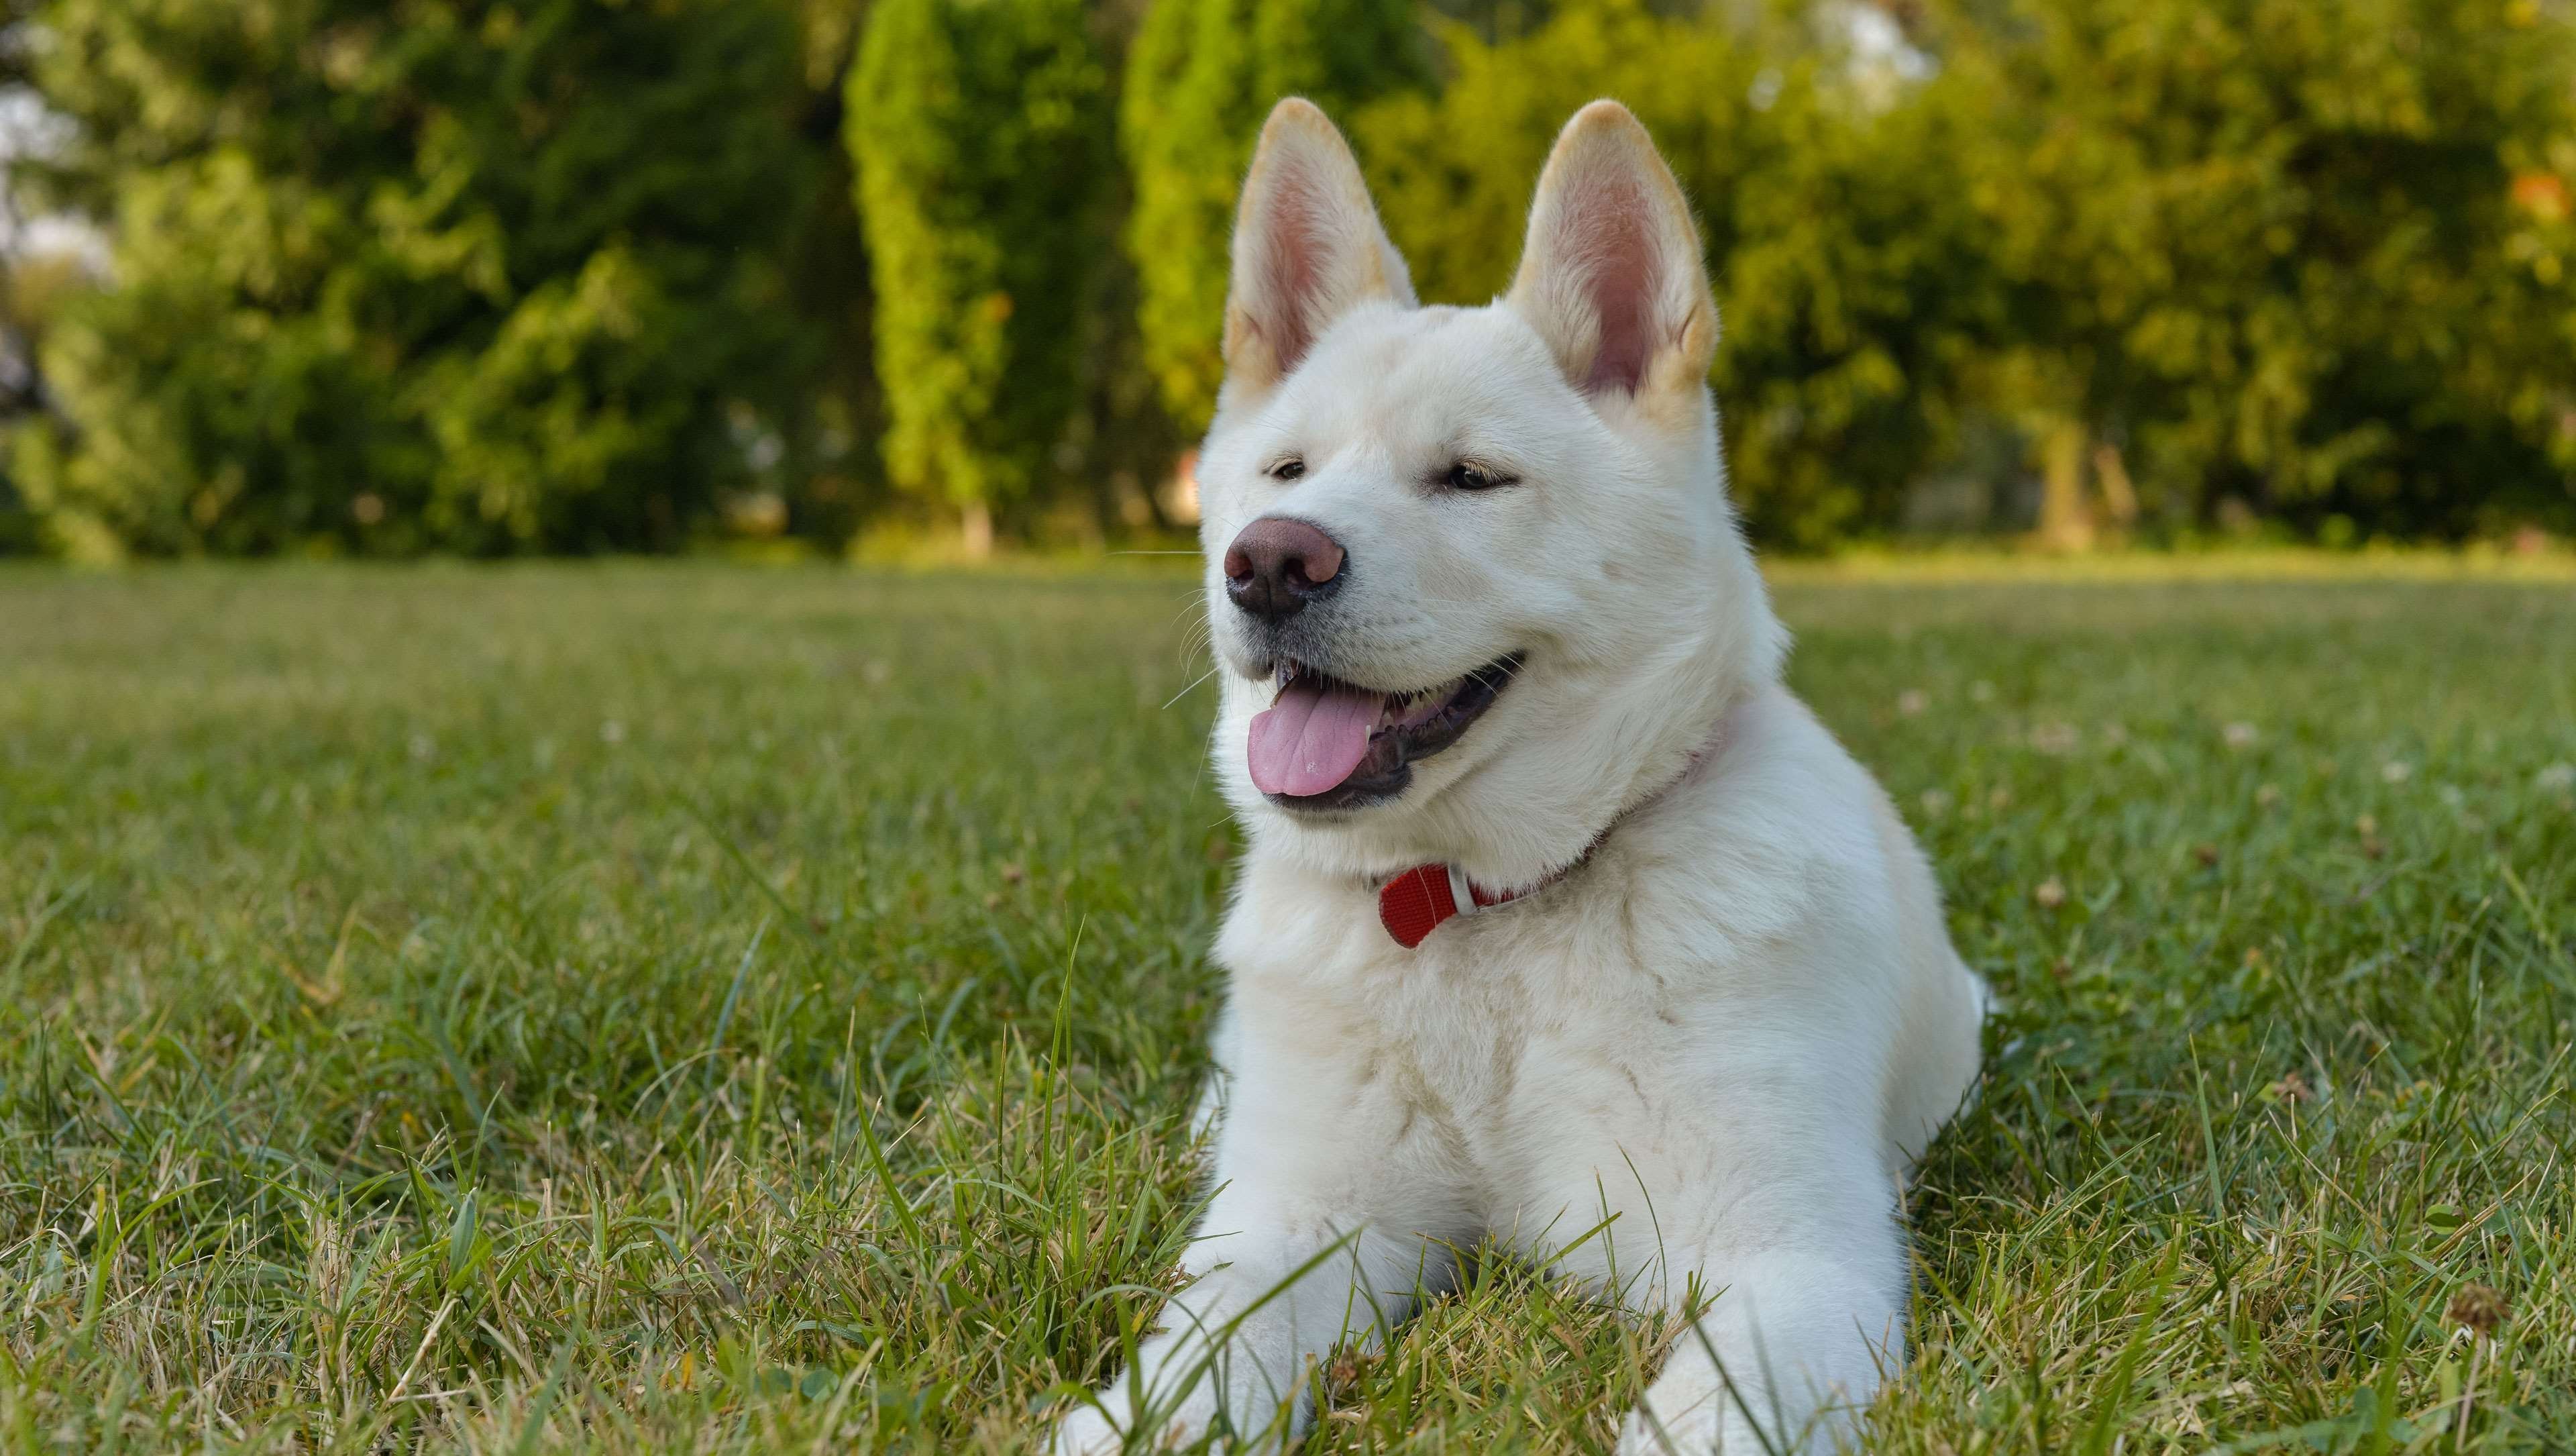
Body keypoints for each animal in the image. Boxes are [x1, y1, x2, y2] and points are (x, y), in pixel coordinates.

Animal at [1056, 97, 1978, 1443]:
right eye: (1287, 472)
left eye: (1472, 478)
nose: (1268, 562)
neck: (1478, 916)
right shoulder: (1298, 1226)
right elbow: (1203, 1356)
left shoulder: (1791, 1259)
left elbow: (1701, 1419)